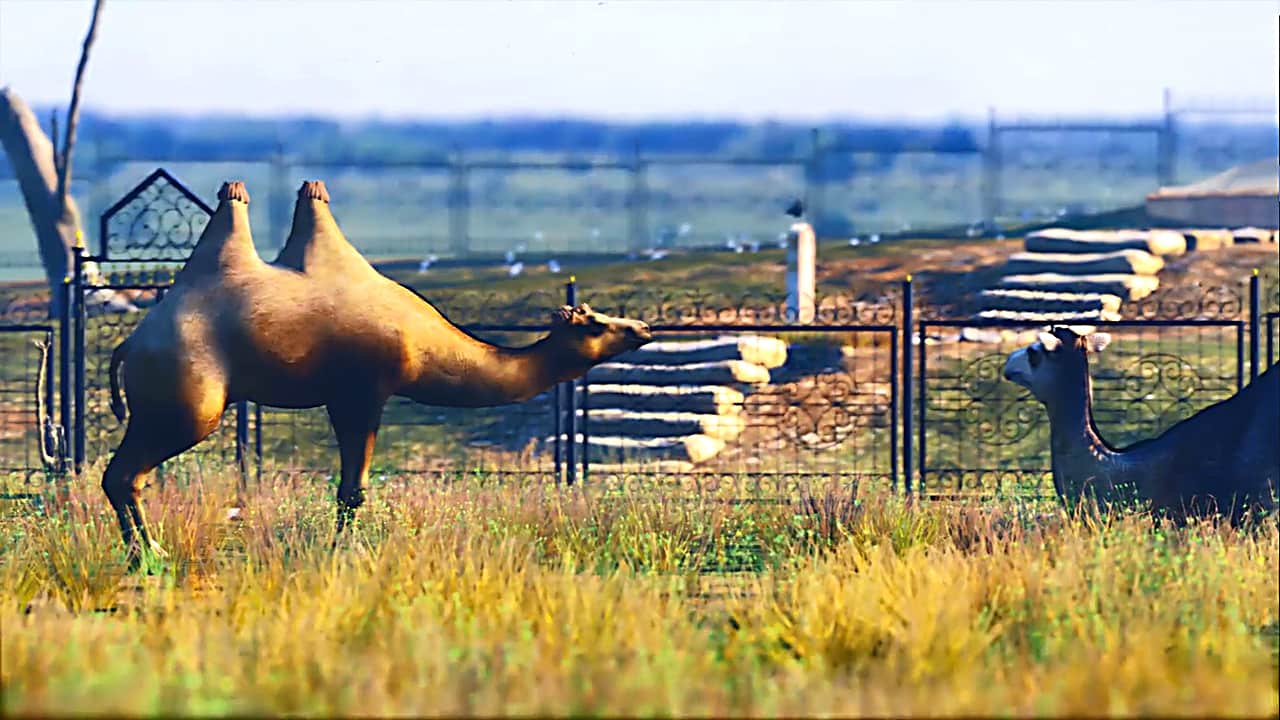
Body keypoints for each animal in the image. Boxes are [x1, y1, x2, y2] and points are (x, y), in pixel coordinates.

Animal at [105, 180, 652, 565]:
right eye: (597, 323)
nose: (643, 327)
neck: (426, 343)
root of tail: (129, 345)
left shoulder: (349, 396)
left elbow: (350, 487)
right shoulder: (362, 390)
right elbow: (353, 489)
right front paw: (343, 553)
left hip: (158, 407)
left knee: (123, 474)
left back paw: (146, 552)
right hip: (188, 403)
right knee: (125, 473)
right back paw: (148, 556)